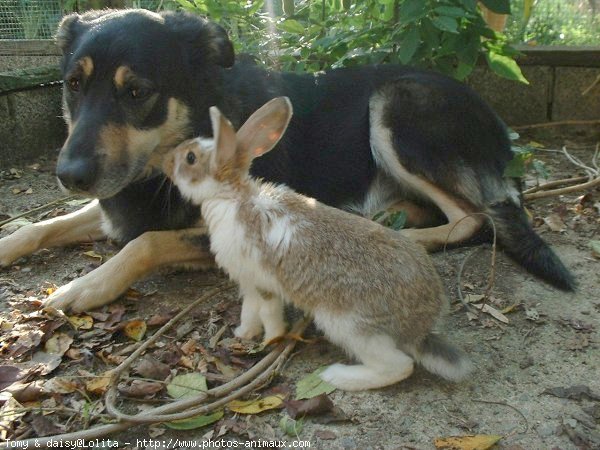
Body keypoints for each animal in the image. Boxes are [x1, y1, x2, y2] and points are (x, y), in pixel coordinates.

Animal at [0, 7, 576, 312]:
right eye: (73, 85)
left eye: (137, 91)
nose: (69, 176)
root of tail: (501, 130)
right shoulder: (108, 200)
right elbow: (42, 226)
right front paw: (12, 244)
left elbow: (146, 241)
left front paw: (84, 285)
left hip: (395, 103)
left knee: (473, 219)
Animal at [164, 97, 474, 390]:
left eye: (190, 157)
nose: (168, 159)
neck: (232, 197)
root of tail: (419, 329)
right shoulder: (248, 283)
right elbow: (249, 310)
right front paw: (243, 334)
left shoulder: (263, 283)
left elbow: (269, 313)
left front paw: (271, 340)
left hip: (348, 325)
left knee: (399, 366)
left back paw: (338, 376)